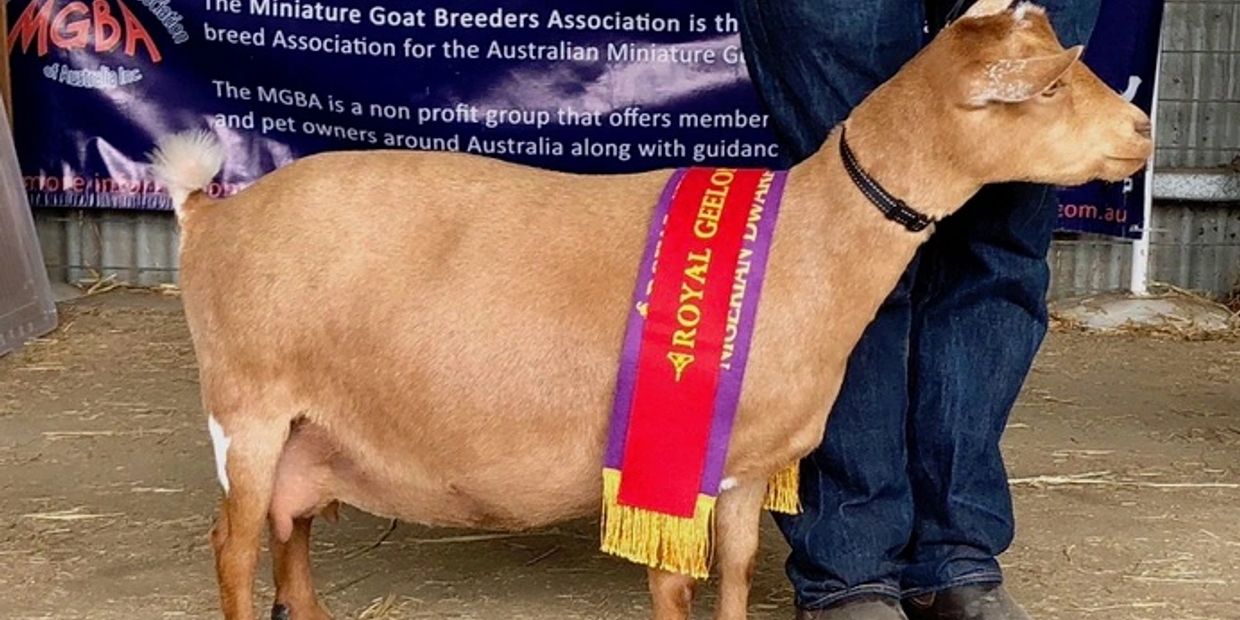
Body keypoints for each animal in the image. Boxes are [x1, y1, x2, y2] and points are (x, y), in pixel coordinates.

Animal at [152, 1, 1152, 618]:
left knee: (288, 525)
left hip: (306, 425)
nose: (1143, 132)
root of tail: (213, 212)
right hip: (245, 406)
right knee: (233, 542)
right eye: (1049, 86)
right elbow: (676, 590)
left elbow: (737, 575)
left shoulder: (744, 468)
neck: (810, 237)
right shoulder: (667, 461)